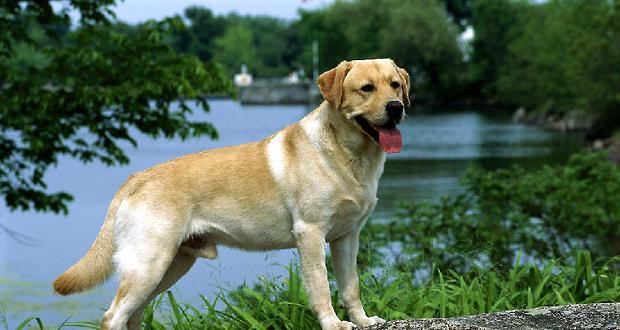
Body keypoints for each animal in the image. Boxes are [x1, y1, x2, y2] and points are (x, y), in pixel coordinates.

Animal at [54, 58, 412, 328]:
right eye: (366, 88)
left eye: (395, 84)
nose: (396, 107)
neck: (348, 155)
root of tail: (135, 178)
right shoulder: (310, 234)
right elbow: (322, 288)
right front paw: (334, 324)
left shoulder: (347, 236)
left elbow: (351, 287)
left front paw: (363, 321)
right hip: (148, 263)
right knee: (113, 316)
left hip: (169, 266)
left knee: (132, 315)